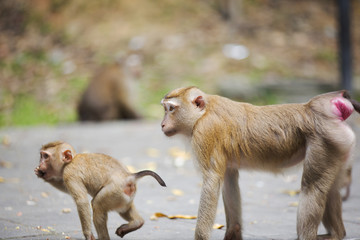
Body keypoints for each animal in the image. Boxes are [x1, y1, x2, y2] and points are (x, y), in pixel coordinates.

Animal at [33, 142, 166, 240]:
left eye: (45, 156)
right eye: (41, 156)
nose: (40, 163)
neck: (72, 160)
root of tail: (128, 176)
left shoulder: (70, 173)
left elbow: (81, 201)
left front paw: (88, 234)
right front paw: (42, 175)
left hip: (114, 191)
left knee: (97, 205)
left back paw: (103, 237)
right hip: (124, 196)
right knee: (125, 208)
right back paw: (137, 222)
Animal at [161, 86, 360, 240]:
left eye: (171, 109)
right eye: (165, 109)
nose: (162, 124)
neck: (203, 113)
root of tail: (317, 108)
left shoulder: (205, 133)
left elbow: (212, 181)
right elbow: (229, 180)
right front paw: (234, 233)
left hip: (324, 141)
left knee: (312, 188)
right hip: (338, 144)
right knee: (331, 189)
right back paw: (337, 234)